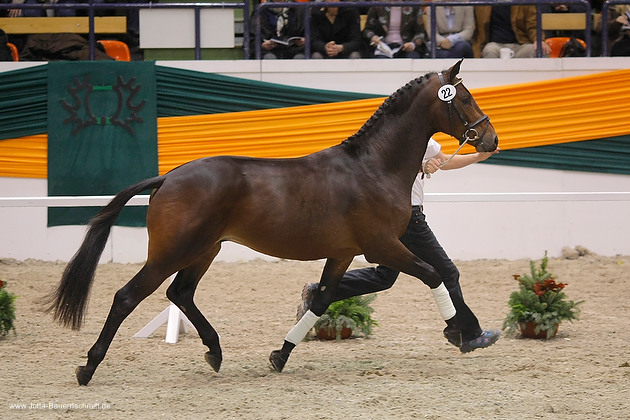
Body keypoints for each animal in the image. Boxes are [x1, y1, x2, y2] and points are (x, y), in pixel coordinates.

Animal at [45, 59, 498, 384]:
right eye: (464, 98)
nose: (491, 140)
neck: (374, 166)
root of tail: (168, 177)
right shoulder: (382, 246)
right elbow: (433, 273)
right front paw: (459, 332)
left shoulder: (343, 253)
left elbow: (320, 300)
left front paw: (280, 355)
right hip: (172, 253)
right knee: (127, 297)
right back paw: (88, 367)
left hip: (204, 250)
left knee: (181, 293)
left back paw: (214, 352)